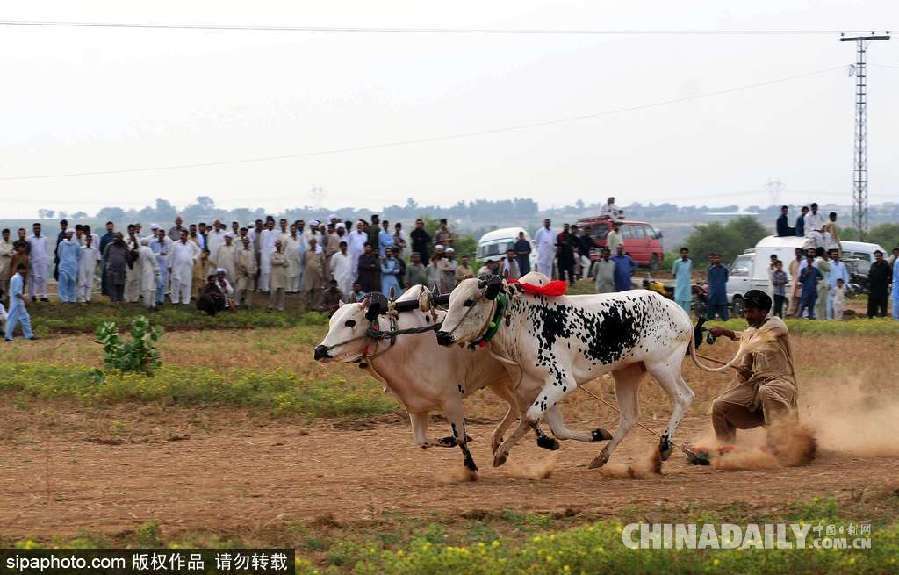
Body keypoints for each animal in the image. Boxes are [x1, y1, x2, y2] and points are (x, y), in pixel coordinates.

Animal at [436, 274, 696, 468]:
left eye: (469, 301)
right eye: (450, 301)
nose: (442, 335)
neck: (520, 321)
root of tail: (678, 310)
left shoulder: (561, 382)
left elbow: (531, 417)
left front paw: (509, 450)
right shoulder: (537, 387)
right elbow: (554, 428)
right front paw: (596, 434)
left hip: (662, 366)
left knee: (684, 397)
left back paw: (664, 446)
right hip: (627, 374)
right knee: (630, 416)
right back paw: (602, 455)